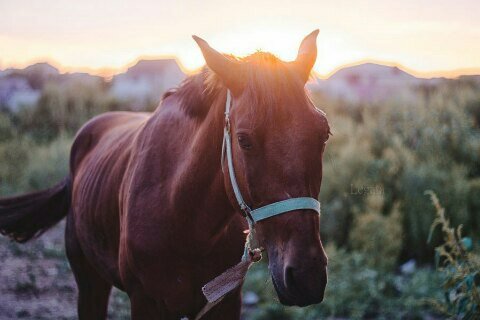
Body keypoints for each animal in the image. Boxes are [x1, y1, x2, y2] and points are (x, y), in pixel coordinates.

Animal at [0, 29, 330, 318]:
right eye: (244, 140)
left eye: (324, 133)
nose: (306, 276)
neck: (185, 216)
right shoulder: (144, 302)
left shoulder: (225, 304)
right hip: (90, 281)